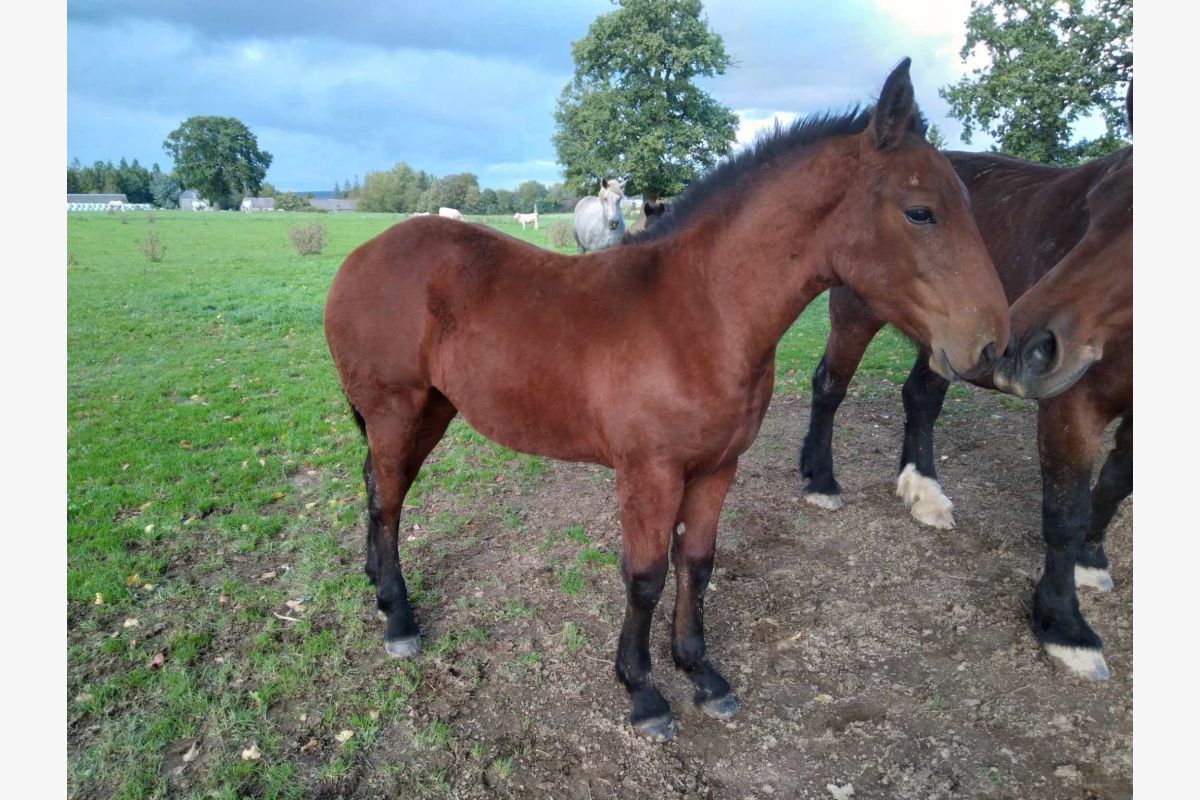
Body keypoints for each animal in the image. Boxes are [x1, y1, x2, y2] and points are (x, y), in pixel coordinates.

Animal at [324, 59, 1008, 743]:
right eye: (920, 212)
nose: (991, 344)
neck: (702, 314)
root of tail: (360, 256)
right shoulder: (648, 473)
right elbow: (646, 575)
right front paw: (643, 690)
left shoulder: (716, 467)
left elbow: (697, 563)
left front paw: (701, 673)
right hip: (396, 411)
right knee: (388, 500)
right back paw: (400, 620)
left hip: (431, 411)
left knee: (379, 485)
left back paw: (377, 587)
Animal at [801, 131, 1128, 681]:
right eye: (1094, 209)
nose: (1026, 344)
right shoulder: (1070, 403)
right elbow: (1064, 512)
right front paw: (1063, 626)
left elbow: (1115, 483)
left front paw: (1091, 560)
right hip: (854, 315)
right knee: (830, 387)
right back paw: (820, 480)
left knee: (920, 399)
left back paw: (924, 491)